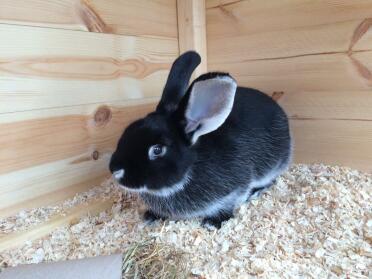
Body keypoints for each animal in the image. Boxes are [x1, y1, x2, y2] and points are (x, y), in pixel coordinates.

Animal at [109, 52, 292, 230]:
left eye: (157, 150)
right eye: (127, 130)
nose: (114, 170)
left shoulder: (236, 188)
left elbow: (230, 203)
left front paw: (212, 223)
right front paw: (150, 216)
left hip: (273, 167)